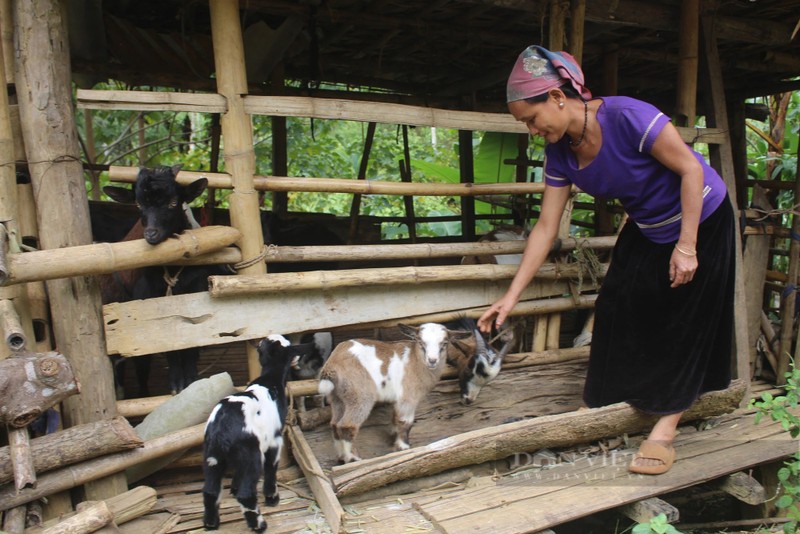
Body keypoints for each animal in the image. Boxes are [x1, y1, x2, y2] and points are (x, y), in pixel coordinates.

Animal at [203, 338, 296, 532]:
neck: (269, 380)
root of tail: (222, 428)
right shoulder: (274, 440)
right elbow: (271, 468)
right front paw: (272, 498)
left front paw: (234, 488)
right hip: (251, 453)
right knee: (246, 494)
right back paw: (259, 525)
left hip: (212, 455)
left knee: (210, 490)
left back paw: (211, 523)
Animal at [318, 322, 468, 464]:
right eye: (420, 341)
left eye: (445, 343)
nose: (432, 360)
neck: (416, 360)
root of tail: (331, 365)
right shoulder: (408, 396)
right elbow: (406, 421)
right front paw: (404, 446)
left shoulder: (398, 399)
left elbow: (395, 417)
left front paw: (393, 436)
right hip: (359, 394)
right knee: (347, 425)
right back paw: (353, 458)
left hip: (338, 397)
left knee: (335, 424)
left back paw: (341, 457)